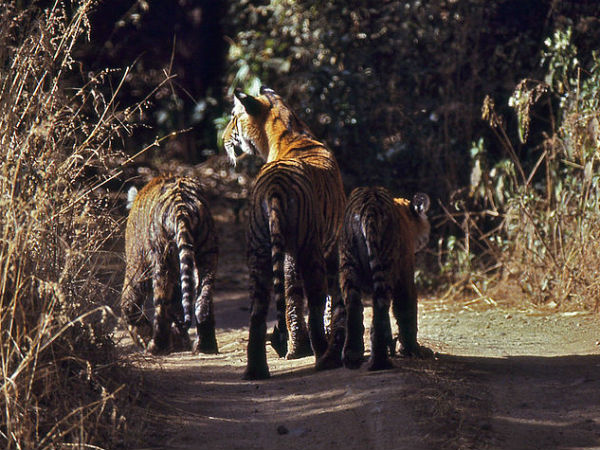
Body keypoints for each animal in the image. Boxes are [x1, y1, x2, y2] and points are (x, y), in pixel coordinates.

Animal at [119, 175, 218, 356]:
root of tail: (182, 205)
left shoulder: (137, 264)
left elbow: (129, 300)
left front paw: (142, 334)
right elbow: (178, 306)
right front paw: (180, 340)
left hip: (161, 261)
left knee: (161, 305)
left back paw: (156, 346)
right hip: (208, 252)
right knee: (204, 297)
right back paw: (205, 346)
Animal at [221, 86, 346, 378]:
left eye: (233, 117)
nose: (222, 139)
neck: (290, 128)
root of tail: (275, 185)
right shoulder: (331, 244)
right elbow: (331, 297)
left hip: (259, 250)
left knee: (259, 310)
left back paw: (258, 368)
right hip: (309, 247)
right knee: (312, 298)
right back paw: (321, 354)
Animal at [338, 185, 432, 370]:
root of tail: (369, 206)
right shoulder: (405, 275)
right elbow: (406, 309)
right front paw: (413, 349)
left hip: (348, 265)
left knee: (354, 306)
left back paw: (352, 356)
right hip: (385, 264)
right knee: (380, 308)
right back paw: (380, 361)